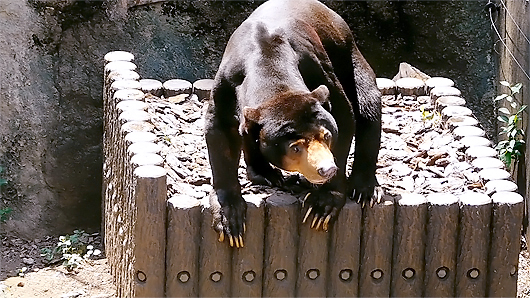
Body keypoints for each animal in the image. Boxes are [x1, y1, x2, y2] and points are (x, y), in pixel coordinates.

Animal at [203, 0, 380, 248]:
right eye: (295, 147)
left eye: (326, 136)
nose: (327, 169)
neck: (267, 61)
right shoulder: (227, 82)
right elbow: (220, 132)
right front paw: (229, 220)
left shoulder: (317, 68)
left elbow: (344, 115)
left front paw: (322, 206)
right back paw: (267, 174)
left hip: (348, 55)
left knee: (368, 103)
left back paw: (364, 189)